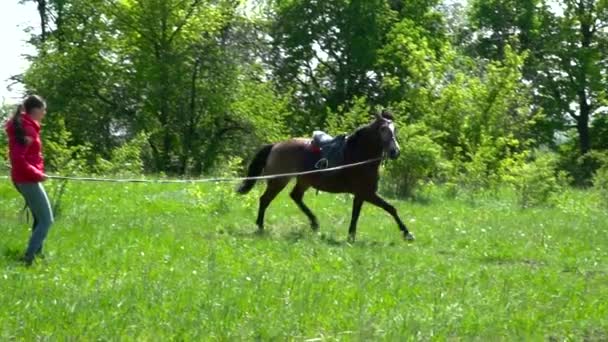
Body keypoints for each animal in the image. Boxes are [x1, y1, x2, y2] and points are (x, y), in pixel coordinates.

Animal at [235, 111, 416, 242]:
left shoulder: (361, 194)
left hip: (303, 181)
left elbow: (357, 214)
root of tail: (276, 145)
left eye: (395, 129)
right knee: (265, 200)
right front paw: (407, 233)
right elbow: (391, 208)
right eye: (383, 129)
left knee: (295, 196)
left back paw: (314, 223)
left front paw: (351, 236)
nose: (395, 152)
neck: (358, 156)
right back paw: (260, 227)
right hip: (279, 181)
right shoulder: (367, 193)